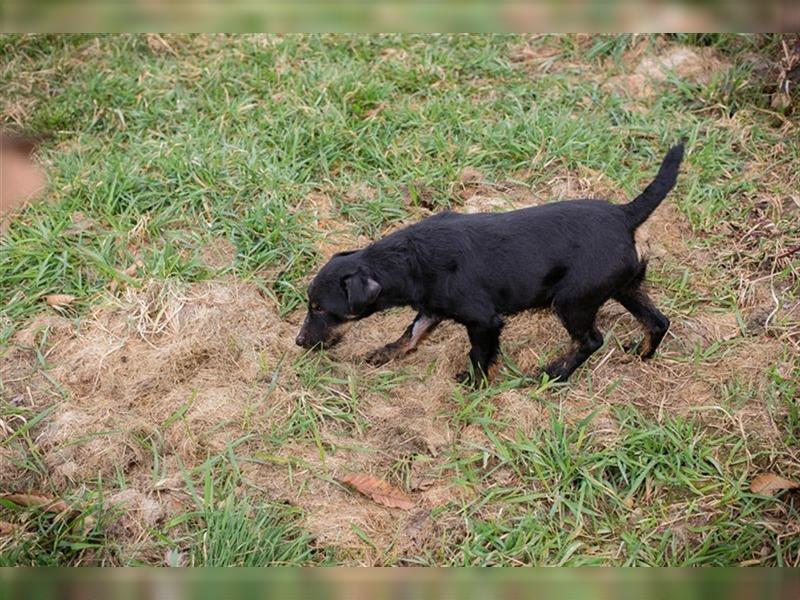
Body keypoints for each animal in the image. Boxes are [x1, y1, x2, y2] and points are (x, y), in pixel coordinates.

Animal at [296, 143, 684, 382]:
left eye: (320, 308)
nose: (299, 341)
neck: (408, 260)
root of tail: (625, 215)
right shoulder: (432, 308)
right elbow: (411, 333)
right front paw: (385, 353)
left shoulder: (483, 321)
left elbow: (481, 355)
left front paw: (474, 383)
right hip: (625, 287)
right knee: (658, 322)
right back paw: (642, 355)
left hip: (574, 301)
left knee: (591, 340)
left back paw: (554, 374)